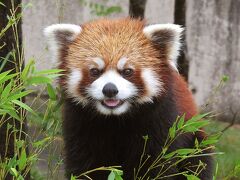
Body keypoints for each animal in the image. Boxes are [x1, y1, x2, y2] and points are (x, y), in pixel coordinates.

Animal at [44, 17, 213, 179]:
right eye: (95, 71)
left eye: (127, 71)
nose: (110, 90)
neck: (115, 120)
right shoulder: (79, 126)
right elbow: (85, 166)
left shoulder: (161, 123)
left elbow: (156, 165)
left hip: (194, 139)